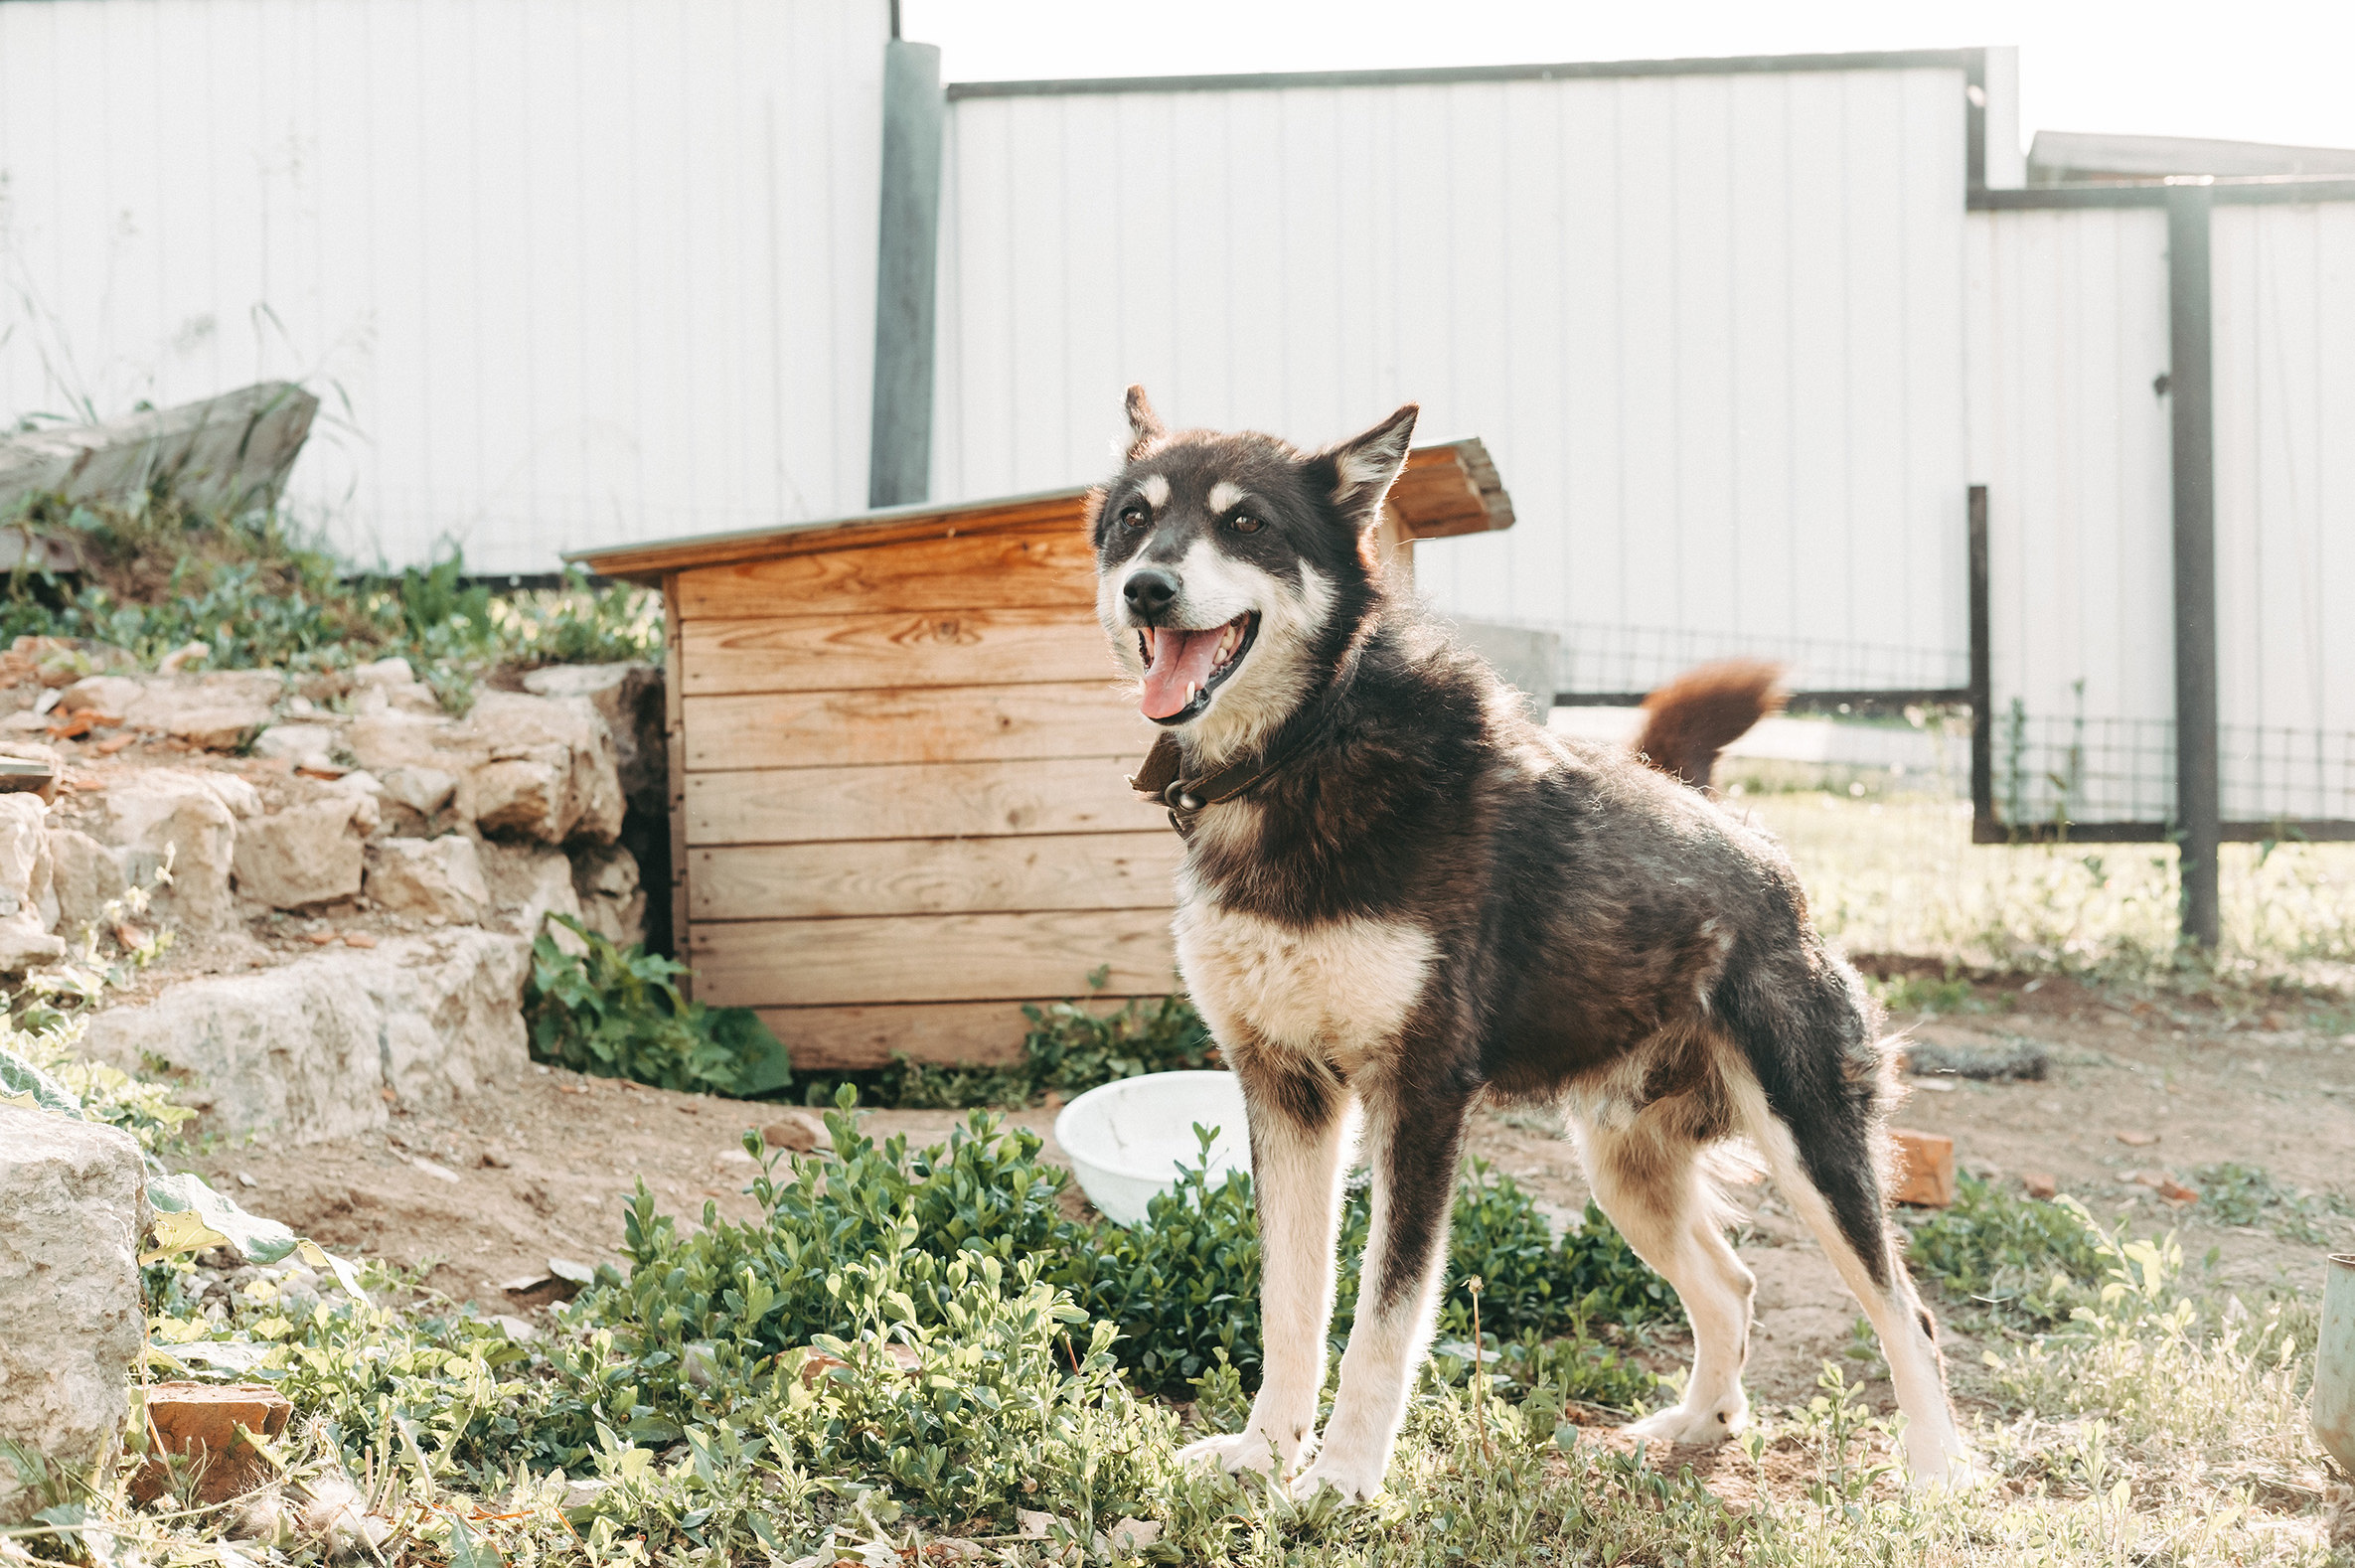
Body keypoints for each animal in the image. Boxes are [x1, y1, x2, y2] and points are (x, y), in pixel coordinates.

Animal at [1087, 384, 1968, 1496]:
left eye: (1245, 524)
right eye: (1134, 520)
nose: (1148, 590)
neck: (1309, 745)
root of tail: (1770, 864)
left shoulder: (1420, 1098)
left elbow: (1382, 1321)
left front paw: (1342, 1480)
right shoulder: (1284, 1087)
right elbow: (1291, 1303)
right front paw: (1263, 1455)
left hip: (1810, 1144)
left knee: (1908, 1311)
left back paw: (1939, 1475)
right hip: (1626, 1171)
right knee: (1731, 1281)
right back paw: (1699, 1424)